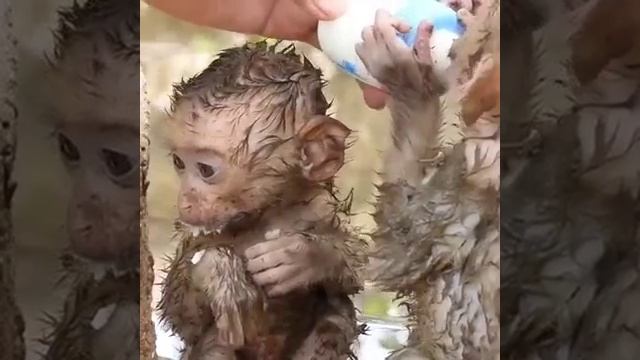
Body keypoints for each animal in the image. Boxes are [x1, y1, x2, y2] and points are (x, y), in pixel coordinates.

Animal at [158, 43, 368, 360]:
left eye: (205, 170)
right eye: (179, 163)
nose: (186, 199)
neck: (266, 213)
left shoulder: (319, 205)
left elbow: (362, 265)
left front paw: (304, 256)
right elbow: (184, 316)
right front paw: (220, 273)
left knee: (336, 315)